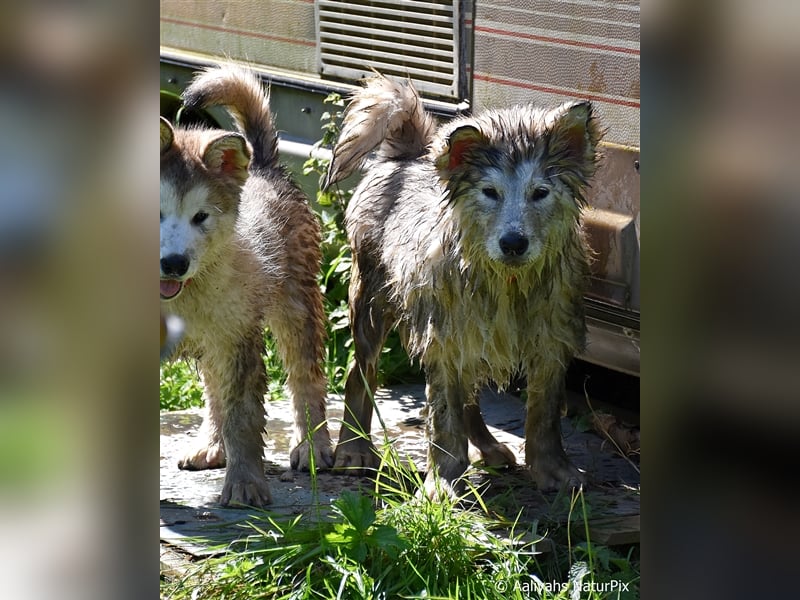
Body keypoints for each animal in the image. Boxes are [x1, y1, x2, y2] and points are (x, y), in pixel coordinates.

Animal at [159, 65, 332, 506]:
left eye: (201, 216)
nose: (174, 264)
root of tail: (263, 165)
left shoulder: (240, 340)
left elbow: (244, 417)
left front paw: (244, 484)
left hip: (295, 306)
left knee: (305, 379)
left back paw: (313, 447)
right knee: (214, 391)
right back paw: (210, 446)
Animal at [324, 74, 600, 496]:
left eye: (540, 193)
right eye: (490, 193)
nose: (513, 242)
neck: (507, 283)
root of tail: (407, 157)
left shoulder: (550, 342)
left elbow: (544, 416)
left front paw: (554, 469)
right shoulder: (442, 340)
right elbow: (444, 419)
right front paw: (441, 481)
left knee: (469, 397)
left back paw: (488, 449)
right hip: (372, 297)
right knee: (361, 372)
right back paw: (353, 449)